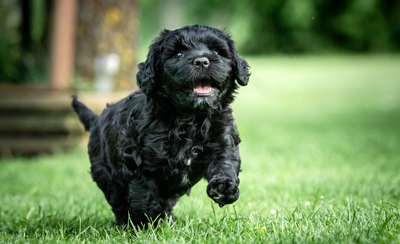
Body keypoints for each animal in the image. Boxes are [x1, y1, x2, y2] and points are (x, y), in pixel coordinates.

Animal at [71, 24, 247, 227]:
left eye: (216, 51)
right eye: (178, 54)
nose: (202, 61)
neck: (191, 117)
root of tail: (96, 119)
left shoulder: (222, 141)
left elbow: (224, 163)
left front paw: (224, 188)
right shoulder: (141, 162)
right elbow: (143, 195)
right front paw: (147, 225)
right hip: (107, 173)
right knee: (119, 201)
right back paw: (127, 224)